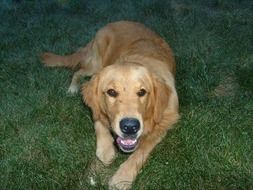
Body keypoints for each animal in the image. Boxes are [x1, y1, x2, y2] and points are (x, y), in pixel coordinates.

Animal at [41, 20, 179, 189]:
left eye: (142, 92)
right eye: (111, 92)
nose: (130, 127)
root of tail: (114, 22)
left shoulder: (165, 122)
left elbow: (142, 150)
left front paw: (122, 178)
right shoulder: (95, 107)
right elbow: (99, 121)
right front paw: (106, 151)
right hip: (95, 66)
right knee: (78, 72)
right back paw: (72, 88)